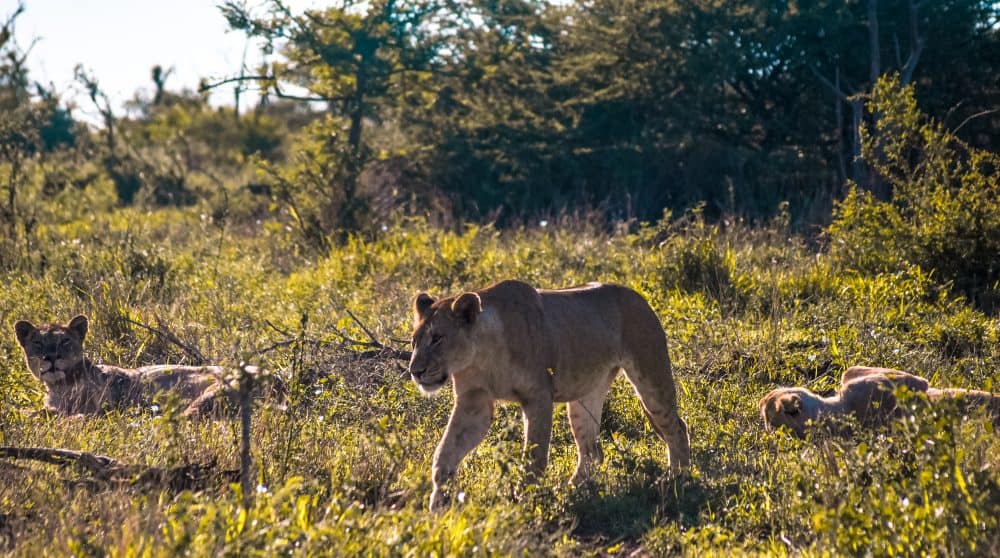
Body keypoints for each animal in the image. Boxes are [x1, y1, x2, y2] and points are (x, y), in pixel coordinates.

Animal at [15, 316, 274, 420]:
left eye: (65, 342)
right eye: (38, 343)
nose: (51, 357)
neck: (60, 386)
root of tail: (276, 378)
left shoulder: (104, 406)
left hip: (213, 392)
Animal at [406, 280, 688, 512]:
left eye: (438, 338)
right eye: (414, 341)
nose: (415, 371)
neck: (482, 355)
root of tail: (639, 296)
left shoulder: (539, 396)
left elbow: (535, 455)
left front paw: (525, 502)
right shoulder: (474, 401)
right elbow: (445, 451)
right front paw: (438, 504)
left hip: (650, 376)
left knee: (677, 426)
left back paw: (677, 479)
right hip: (585, 396)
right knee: (592, 451)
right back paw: (572, 490)